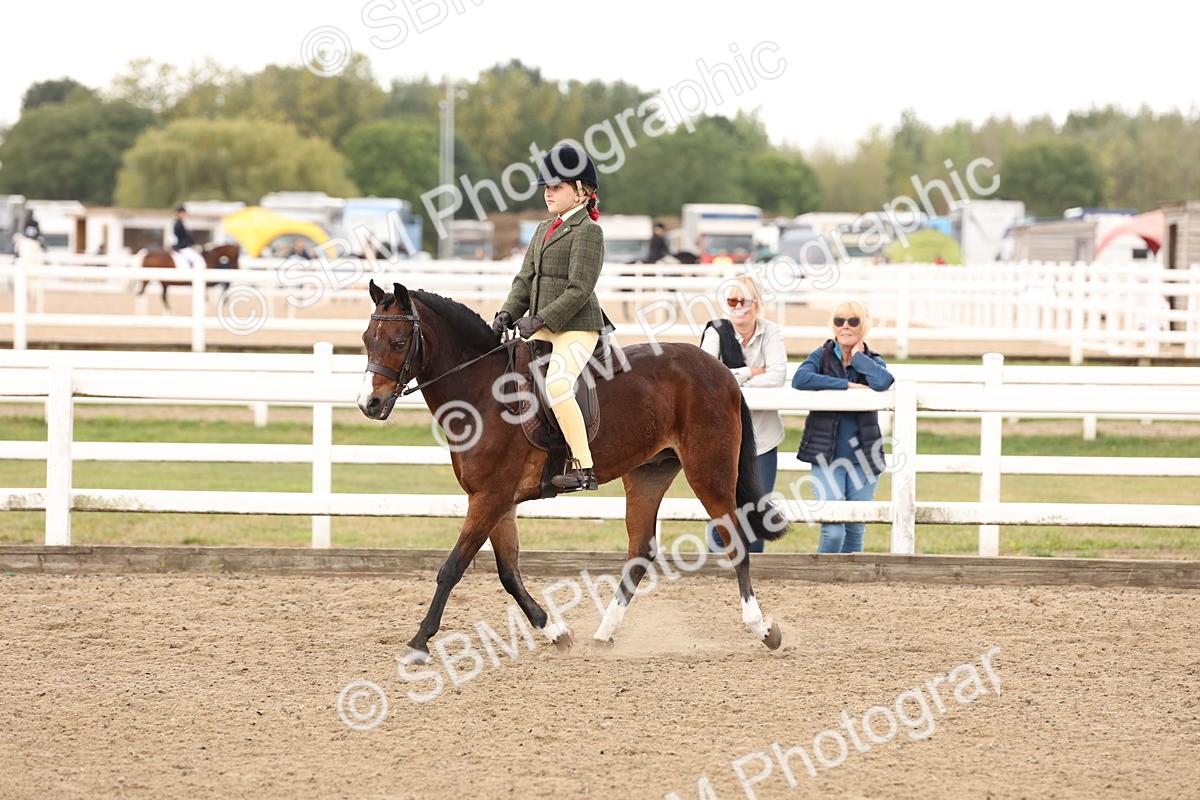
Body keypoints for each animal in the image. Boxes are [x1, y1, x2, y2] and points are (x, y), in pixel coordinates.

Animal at [357, 279, 788, 665]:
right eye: (365, 340)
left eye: (399, 343)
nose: (369, 404)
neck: (483, 392)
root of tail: (721, 371)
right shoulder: (494, 499)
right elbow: (508, 572)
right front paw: (556, 632)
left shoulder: (491, 497)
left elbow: (452, 568)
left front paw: (419, 643)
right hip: (648, 473)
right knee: (641, 550)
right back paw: (603, 633)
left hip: (707, 471)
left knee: (734, 539)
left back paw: (763, 628)